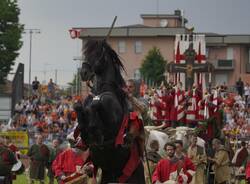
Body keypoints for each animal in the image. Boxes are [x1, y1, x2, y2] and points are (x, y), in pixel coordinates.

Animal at [77, 39, 146, 184]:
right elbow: (79, 108)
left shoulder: (112, 122)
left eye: (97, 53)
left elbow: (96, 105)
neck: (103, 91)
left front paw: (95, 131)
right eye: (86, 53)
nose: (84, 72)